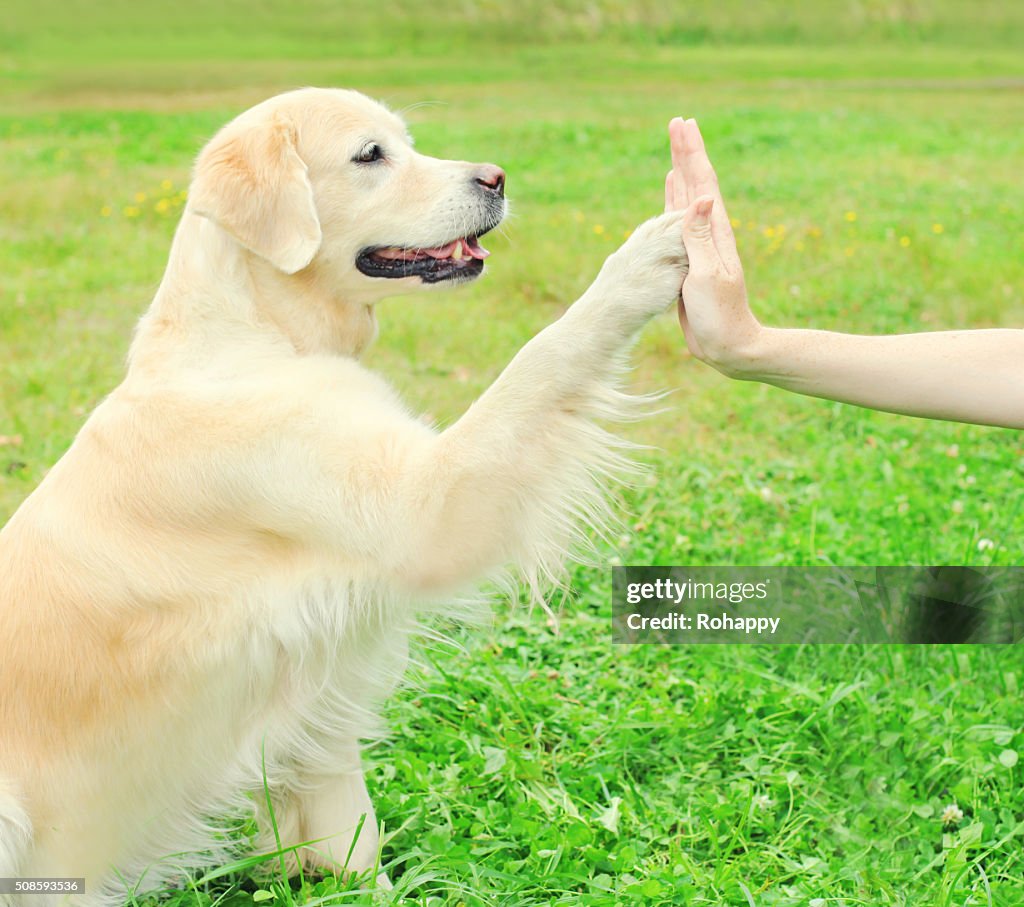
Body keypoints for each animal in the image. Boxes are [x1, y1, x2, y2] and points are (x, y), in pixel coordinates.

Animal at [0, 87, 688, 900]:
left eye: (407, 142)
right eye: (370, 155)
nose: (496, 178)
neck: (255, 332)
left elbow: (345, 832)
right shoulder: (427, 507)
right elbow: (542, 355)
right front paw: (643, 260)